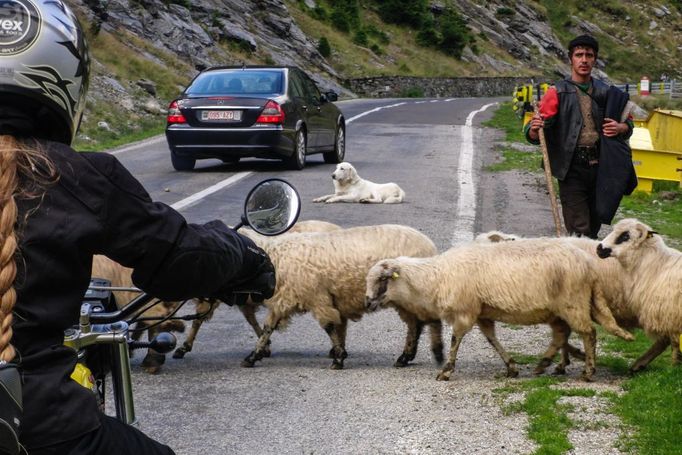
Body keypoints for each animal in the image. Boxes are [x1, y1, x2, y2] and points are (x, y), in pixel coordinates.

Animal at [242, 224, 438, 370]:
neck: (274, 256)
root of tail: (430, 246)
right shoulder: (286, 299)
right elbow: (268, 327)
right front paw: (253, 356)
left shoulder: (316, 297)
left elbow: (328, 326)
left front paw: (338, 358)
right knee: (415, 324)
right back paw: (406, 357)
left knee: (414, 325)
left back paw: (405, 356)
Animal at [362, 240, 632, 382]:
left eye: (382, 280)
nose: (367, 302)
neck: (434, 277)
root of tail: (589, 266)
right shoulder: (483, 314)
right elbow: (492, 340)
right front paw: (511, 367)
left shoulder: (465, 311)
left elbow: (455, 339)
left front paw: (446, 370)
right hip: (558, 310)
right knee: (561, 335)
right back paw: (545, 364)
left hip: (572, 304)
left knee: (588, 333)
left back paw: (588, 371)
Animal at [596, 219, 680, 372]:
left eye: (625, 236)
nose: (599, 248)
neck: (657, 264)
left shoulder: (670, 314)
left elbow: (674, 344)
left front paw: (674, 368)